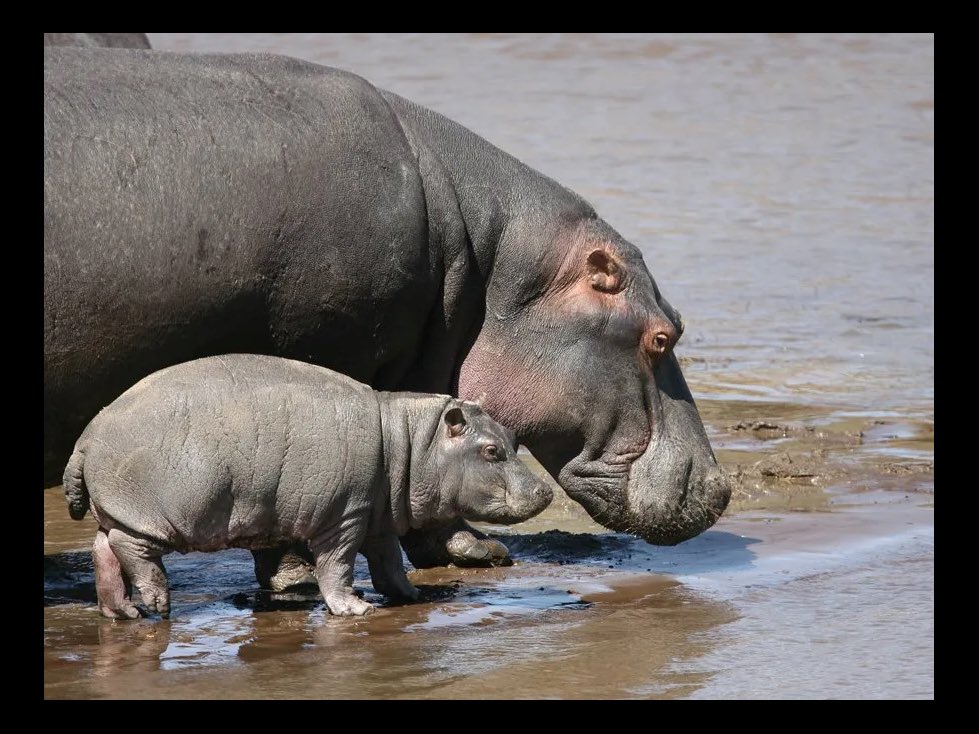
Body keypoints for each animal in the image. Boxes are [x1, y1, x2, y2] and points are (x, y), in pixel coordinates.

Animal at [44, 47, 731, 581]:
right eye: (662, 336)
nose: (722, 488)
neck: (491, 260)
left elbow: (426, 447)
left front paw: (470, 549)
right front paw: (303, 574)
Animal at [63, 355, 552, 619]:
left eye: (514, 438)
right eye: (491, 451)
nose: (545, 491)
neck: (413, 441)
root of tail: (86, 435)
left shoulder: (377, 515)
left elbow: (389, 562)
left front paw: (412, 595)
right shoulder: (345, 516)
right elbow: (337, 565)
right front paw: (354, 608)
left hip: (119, 512)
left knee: (102, 550)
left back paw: (122, 613)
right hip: (152, 516)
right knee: (131, 550)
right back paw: (158, 602)